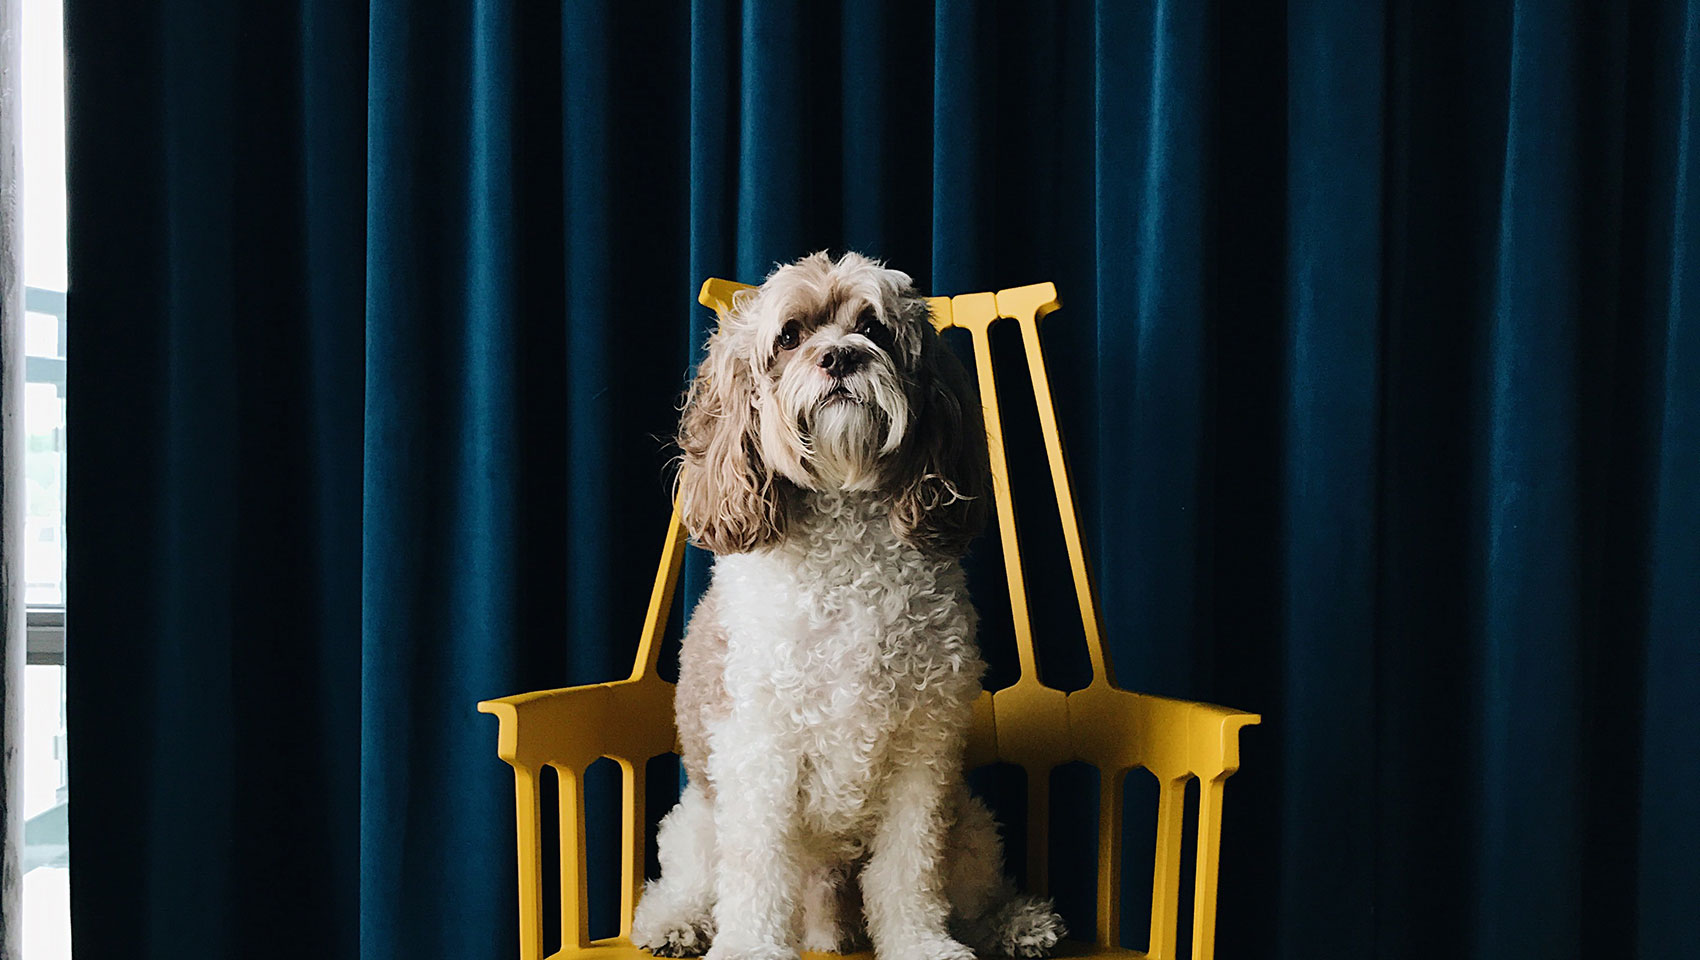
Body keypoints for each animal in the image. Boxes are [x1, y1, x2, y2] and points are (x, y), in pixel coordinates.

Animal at [632, 251, 1060, 958]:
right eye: (790, 335)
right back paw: (674, 924)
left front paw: (921, 942)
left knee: (970, 892)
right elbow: (758, 868)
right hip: (697, 821)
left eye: (874, 328)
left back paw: (1014, 923)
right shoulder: (759, 746)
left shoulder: (924, 751)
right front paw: (750, 947)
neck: (847, 527)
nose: (839, 357)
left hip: (970, 823)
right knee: (691, 883)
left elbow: (908, 870)